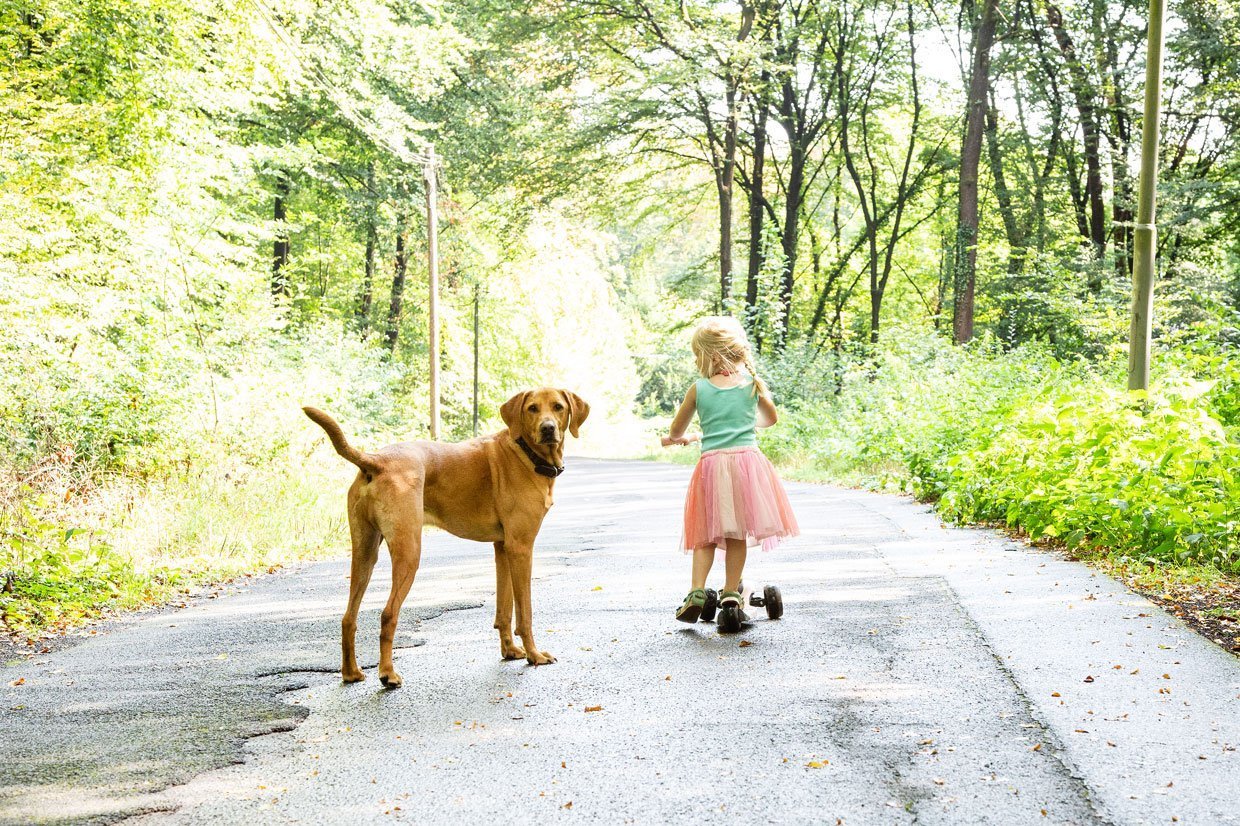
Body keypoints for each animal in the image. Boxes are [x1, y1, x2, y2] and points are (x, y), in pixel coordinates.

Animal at [302, 389, 587, 684]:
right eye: (532, 408)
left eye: (558, 407)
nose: (548, 428)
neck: (526, 453)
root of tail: (376, 460)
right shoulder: (521, 547)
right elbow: (524, 612)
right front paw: (534, 654)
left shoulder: (503, 548)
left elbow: (504, 609)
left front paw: (510, 650)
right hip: (409, 552)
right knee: (388, 614)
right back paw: (388, 674)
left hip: (364, 552)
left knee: (348, 617)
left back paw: (351, 672)